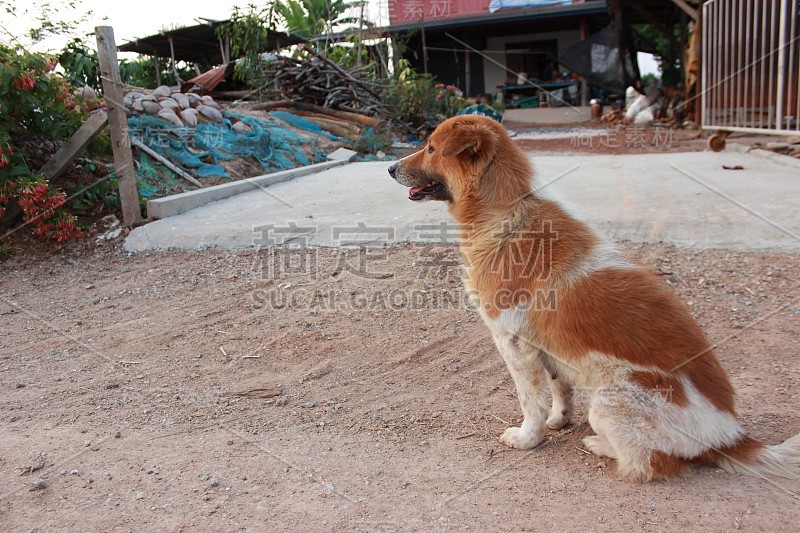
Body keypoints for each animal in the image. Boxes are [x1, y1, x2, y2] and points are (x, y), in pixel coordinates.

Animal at [390, 114, 800, 480]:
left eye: (430, 147)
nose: (391, 168)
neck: (510, 214)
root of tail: (731, 437)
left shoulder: (514, 345)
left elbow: (530, 402)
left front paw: (528, 438)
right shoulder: (547, 349)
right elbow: (560, 390)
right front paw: (558, 421)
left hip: (608, 404)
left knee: (650, 463)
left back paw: (601, 445)